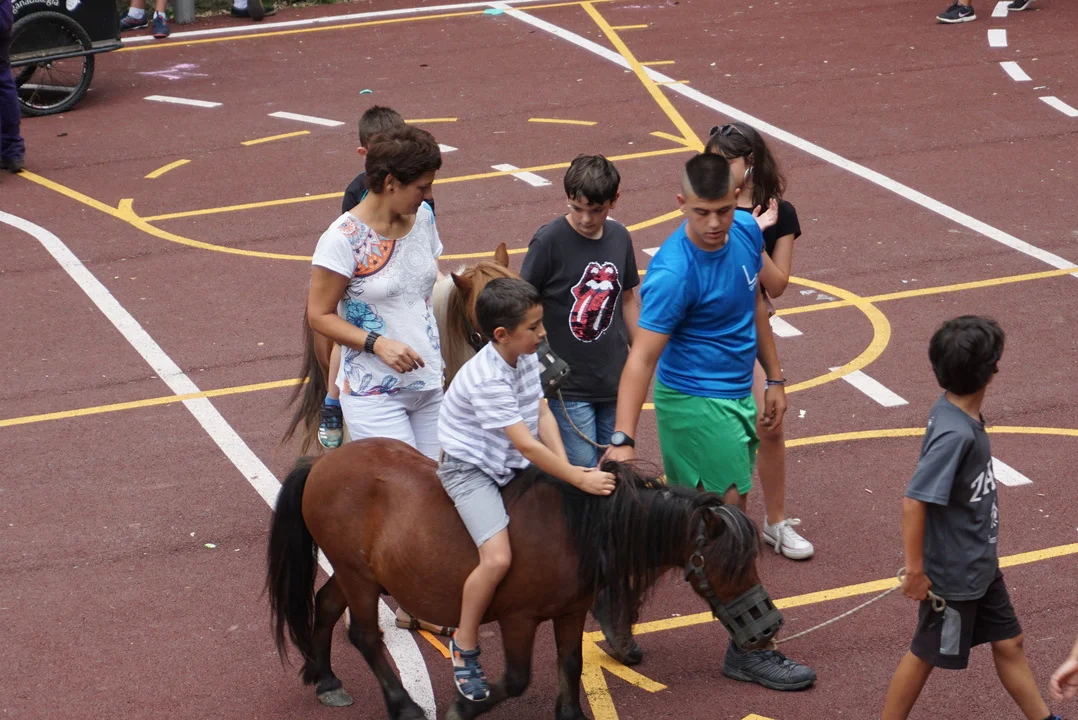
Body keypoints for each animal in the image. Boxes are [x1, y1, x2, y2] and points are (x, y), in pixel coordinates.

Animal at [265, 438, 782, 720]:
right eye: (732, 565)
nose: (769, 627)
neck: (579, 528)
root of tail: (321, 463)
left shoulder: (571, 612)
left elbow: (571, 665)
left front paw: (570, 713)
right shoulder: (519, 619)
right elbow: (516, 679)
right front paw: (464, 707)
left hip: (357, 573)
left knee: (326, 606)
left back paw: (326, 677)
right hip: (360, 579)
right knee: (366, 635)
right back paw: (403, 705)